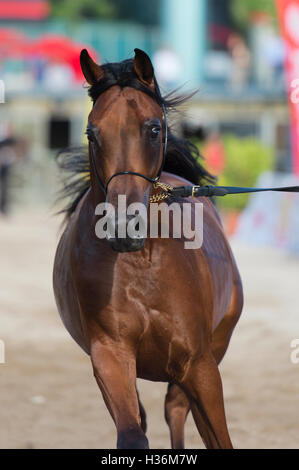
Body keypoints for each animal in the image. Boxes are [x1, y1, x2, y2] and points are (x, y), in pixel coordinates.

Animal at [53, 49, 244, 450]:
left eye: (153, 128)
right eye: (92, 132)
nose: (124, 227)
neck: (141, 264)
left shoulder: (199, 363)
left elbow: (219, 439)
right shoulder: (110, 354)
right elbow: (132, 434)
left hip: (215, 346)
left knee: (175, 410)